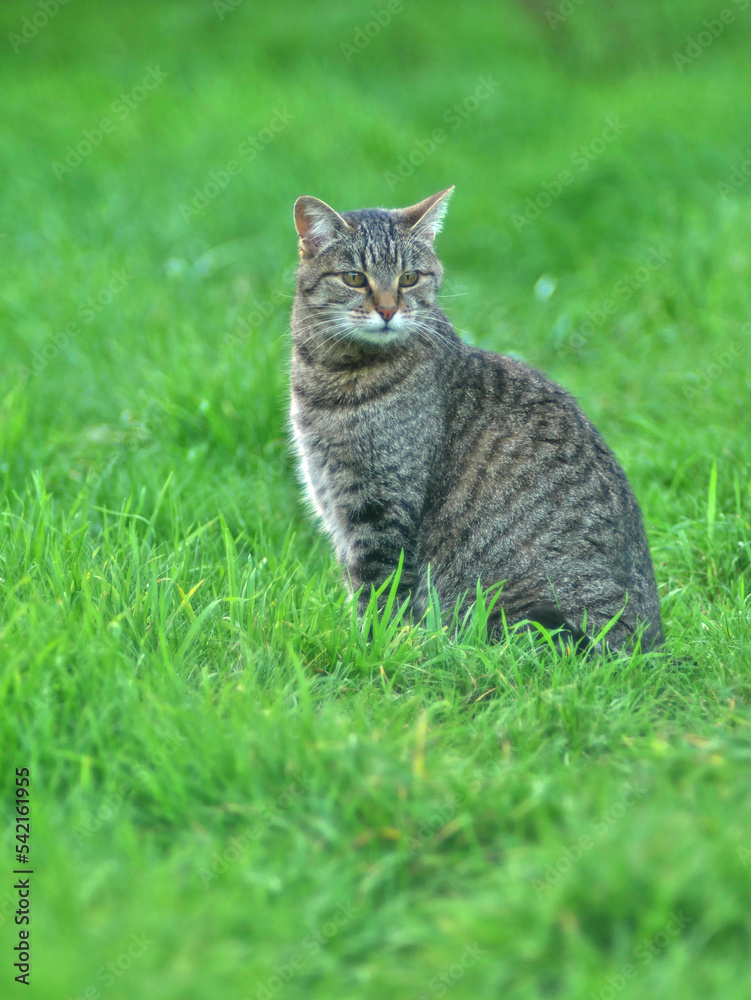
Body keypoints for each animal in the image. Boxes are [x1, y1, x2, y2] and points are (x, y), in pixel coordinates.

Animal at [288, 186, 664, 656]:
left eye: (409, 278)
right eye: (355, 278)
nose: (388, 310)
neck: (332, 377)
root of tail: (652, 649)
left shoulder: (381, 509)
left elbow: (379, 596)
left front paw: (376, 651)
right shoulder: (339, 508)